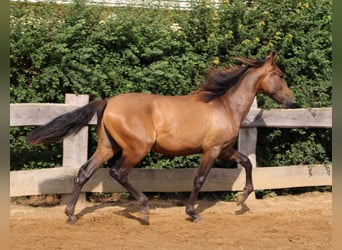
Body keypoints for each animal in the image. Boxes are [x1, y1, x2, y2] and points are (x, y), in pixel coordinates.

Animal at [27, 51, 300, 224]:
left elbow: (247, 162)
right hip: (136, 148)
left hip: (107, 146)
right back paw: (145, 208)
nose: (292, 101)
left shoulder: (224, 149)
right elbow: (199, 180)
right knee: (118, 172)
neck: (224, 106)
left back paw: (71, 214)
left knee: (84, 172)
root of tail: (108, 102)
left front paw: (242, 197)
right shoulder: (211, 150)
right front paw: (193, 213)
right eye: (281, 74)